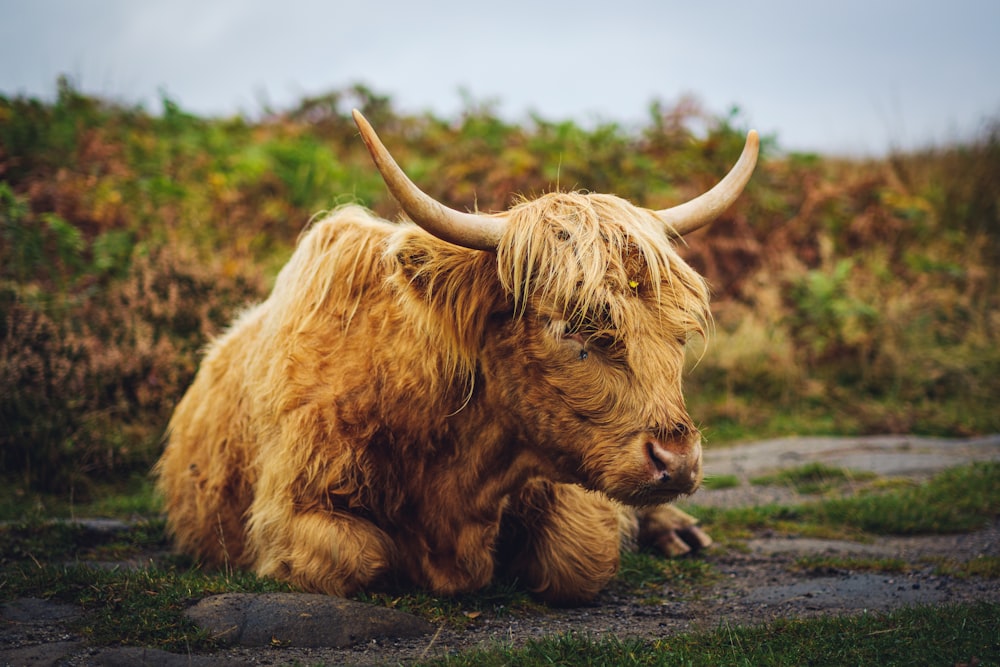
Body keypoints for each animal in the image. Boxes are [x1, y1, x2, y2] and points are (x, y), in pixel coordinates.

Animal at [152, 111, 752, 604]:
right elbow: (359, 557)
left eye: (680, 333)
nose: (678, 460)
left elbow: (579, 560)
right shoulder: (288, 510)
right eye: (573, 326)